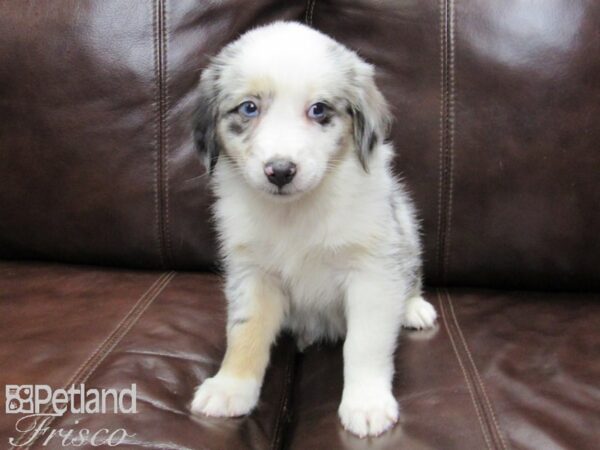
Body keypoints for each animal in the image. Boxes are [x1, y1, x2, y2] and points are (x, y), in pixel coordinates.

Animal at [191, 22, 436, 440]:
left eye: (318, 109)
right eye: (249, 108)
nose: (280, 171)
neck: (295, 214)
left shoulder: (371, 272)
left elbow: (364, 344)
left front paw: (366, 403)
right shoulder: (253, 273)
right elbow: (245, 334)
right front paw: (230, 387)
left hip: (404, 222)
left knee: (411, 272)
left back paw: (414, 307)